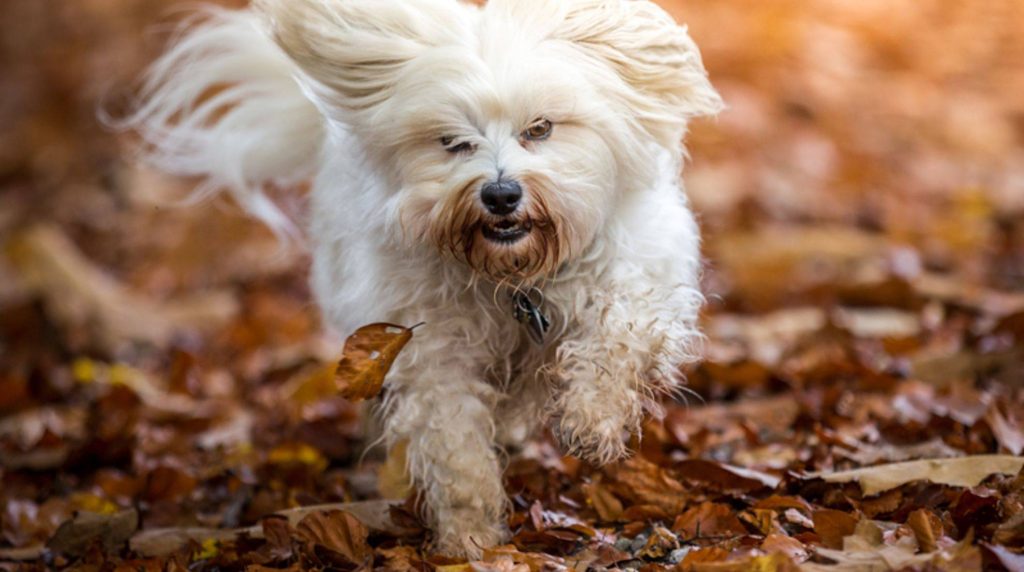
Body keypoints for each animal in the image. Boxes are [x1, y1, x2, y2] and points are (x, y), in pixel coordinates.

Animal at [125, 0, 720, 556]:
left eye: (541, 129)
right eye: (453, 141)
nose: (500, 194)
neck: (514, 277)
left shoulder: (640, 275)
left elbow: (617, 335)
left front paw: (592, 421)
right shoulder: (432, 351)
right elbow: (455, 448)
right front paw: (469, 539)